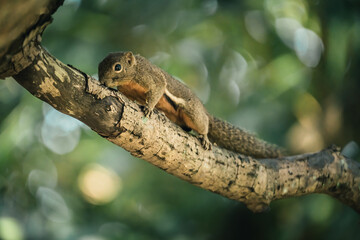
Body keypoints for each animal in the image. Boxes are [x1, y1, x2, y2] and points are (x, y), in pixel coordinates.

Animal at [98, 51, 284, 158]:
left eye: (117, 67)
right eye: (99, 66)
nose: (102, 82)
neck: (133, 73)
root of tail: (204, 111)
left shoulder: (151, 78)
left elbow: (158, 89)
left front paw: (150, 108)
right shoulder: (128, 90)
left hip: (193, 113)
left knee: (203, 124)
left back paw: (205, 137)